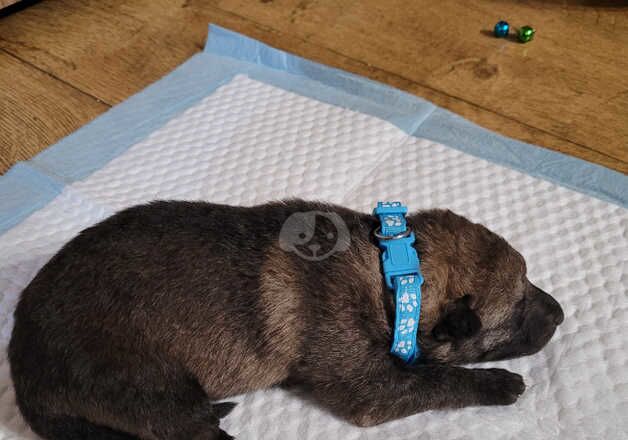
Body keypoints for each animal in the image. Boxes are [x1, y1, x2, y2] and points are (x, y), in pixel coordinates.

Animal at [7, 200, 564, 440]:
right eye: (517, 308)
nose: (560, 314)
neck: (394, 268)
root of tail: (22, 371)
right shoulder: (368, 387)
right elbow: (437, 379)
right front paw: (498, 384)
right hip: (150, 386)